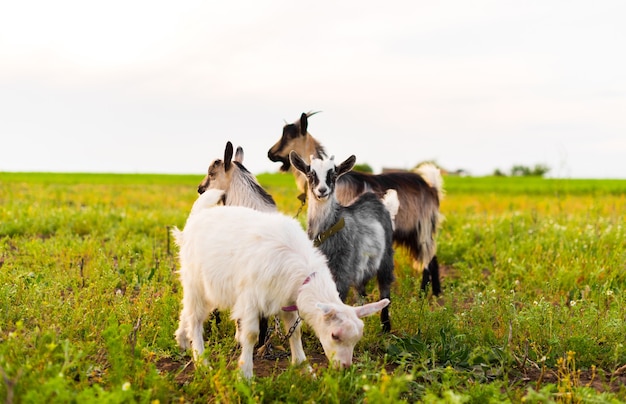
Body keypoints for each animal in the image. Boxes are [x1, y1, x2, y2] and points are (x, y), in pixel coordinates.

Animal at [169, 189, 386, 378]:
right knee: (196, 318)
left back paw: (182, 340)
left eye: (357, 339)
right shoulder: (251, 298)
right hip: (195, 280)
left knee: (188, 310)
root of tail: (196, 218)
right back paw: (201, 361)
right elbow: (251, 335)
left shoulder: (287, 300)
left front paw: (304, 369)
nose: (344, 367)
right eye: (335, 335)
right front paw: (245, 375)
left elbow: (295, 333)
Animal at [288, 151, 394, 332]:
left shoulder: (342, 270)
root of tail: (372, 197)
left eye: (333, 174)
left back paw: (386, 326)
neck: (326, 230)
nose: (322, 190)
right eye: (310, 174)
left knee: (385, 288)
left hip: (385, 256)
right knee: (361, 289)